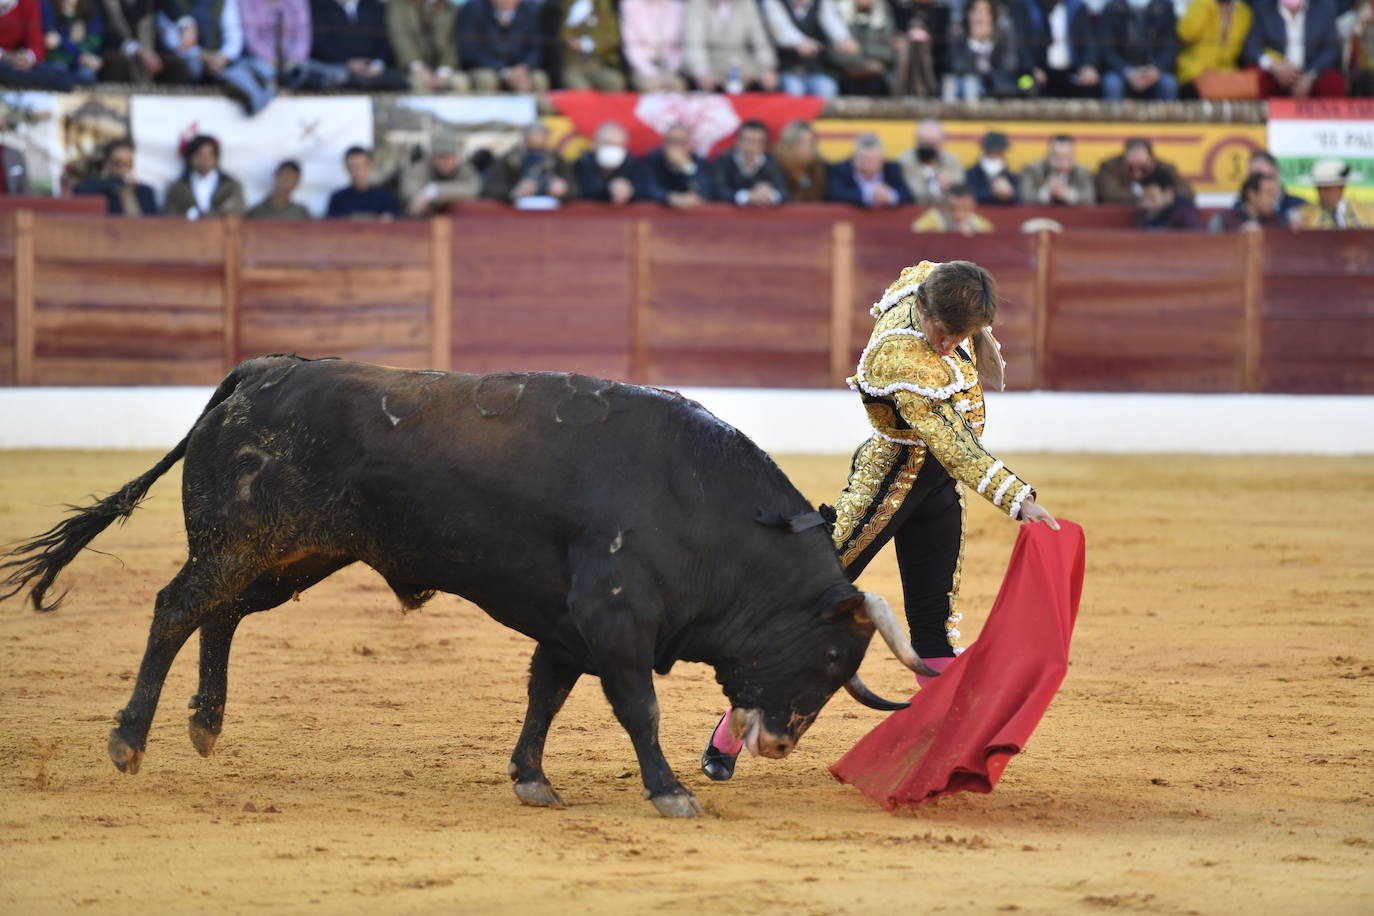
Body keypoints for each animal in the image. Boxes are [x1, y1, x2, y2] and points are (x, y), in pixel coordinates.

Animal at [2, 357, 934, 818]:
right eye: (828, 660)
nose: (777, 743)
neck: (706, 510)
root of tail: (260, 372)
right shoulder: (615, 620)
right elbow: (636, 706)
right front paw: (670, 791)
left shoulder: (569, 627)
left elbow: (545, 694)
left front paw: (531, 780)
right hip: (242, 542)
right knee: (176, 607)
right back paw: (129, 739)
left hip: (290, 556)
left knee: (219, 614)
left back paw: (204, 723)